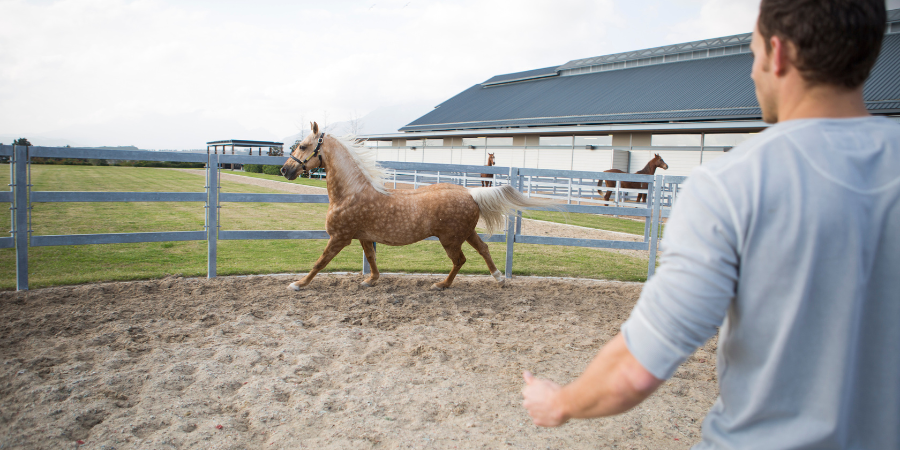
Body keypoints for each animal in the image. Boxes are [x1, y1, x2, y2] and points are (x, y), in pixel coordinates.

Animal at [282, 122, 548, 292]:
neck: (351, 193)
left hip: (450, 240)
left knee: (460, 260)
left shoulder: (340, 237)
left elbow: (320, 262)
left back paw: (441, 285)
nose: (285, 170)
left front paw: (298, 284)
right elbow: (372, 258)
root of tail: (470, 192)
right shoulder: (364, 236)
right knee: (483, 249)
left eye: (303, 146)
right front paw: (371, 281)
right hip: (466, 233)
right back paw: (499, 279)